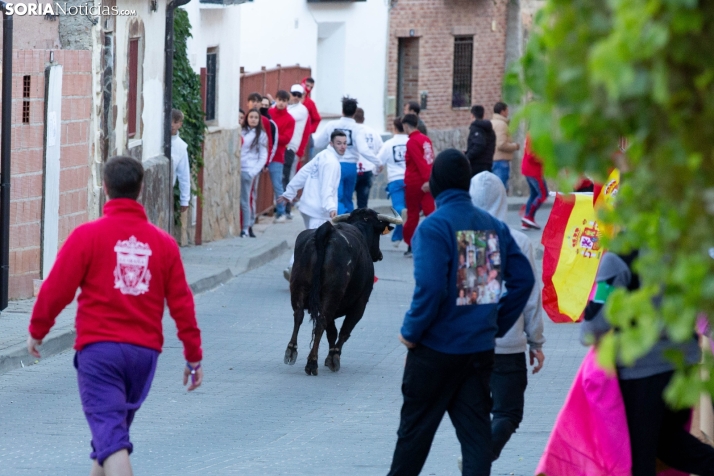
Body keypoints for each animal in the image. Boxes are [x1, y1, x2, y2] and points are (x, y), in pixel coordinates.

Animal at [286, 208, 406, 376]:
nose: (379, 255)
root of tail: (326, 231)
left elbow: (332, 331)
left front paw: (330, 356)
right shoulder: (360, 304)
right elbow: (345, 330)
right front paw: (333, 357)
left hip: (299, 287)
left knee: (299, 316)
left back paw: (291, 351)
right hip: (332, 294)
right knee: (322, 322)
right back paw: (312, 363)